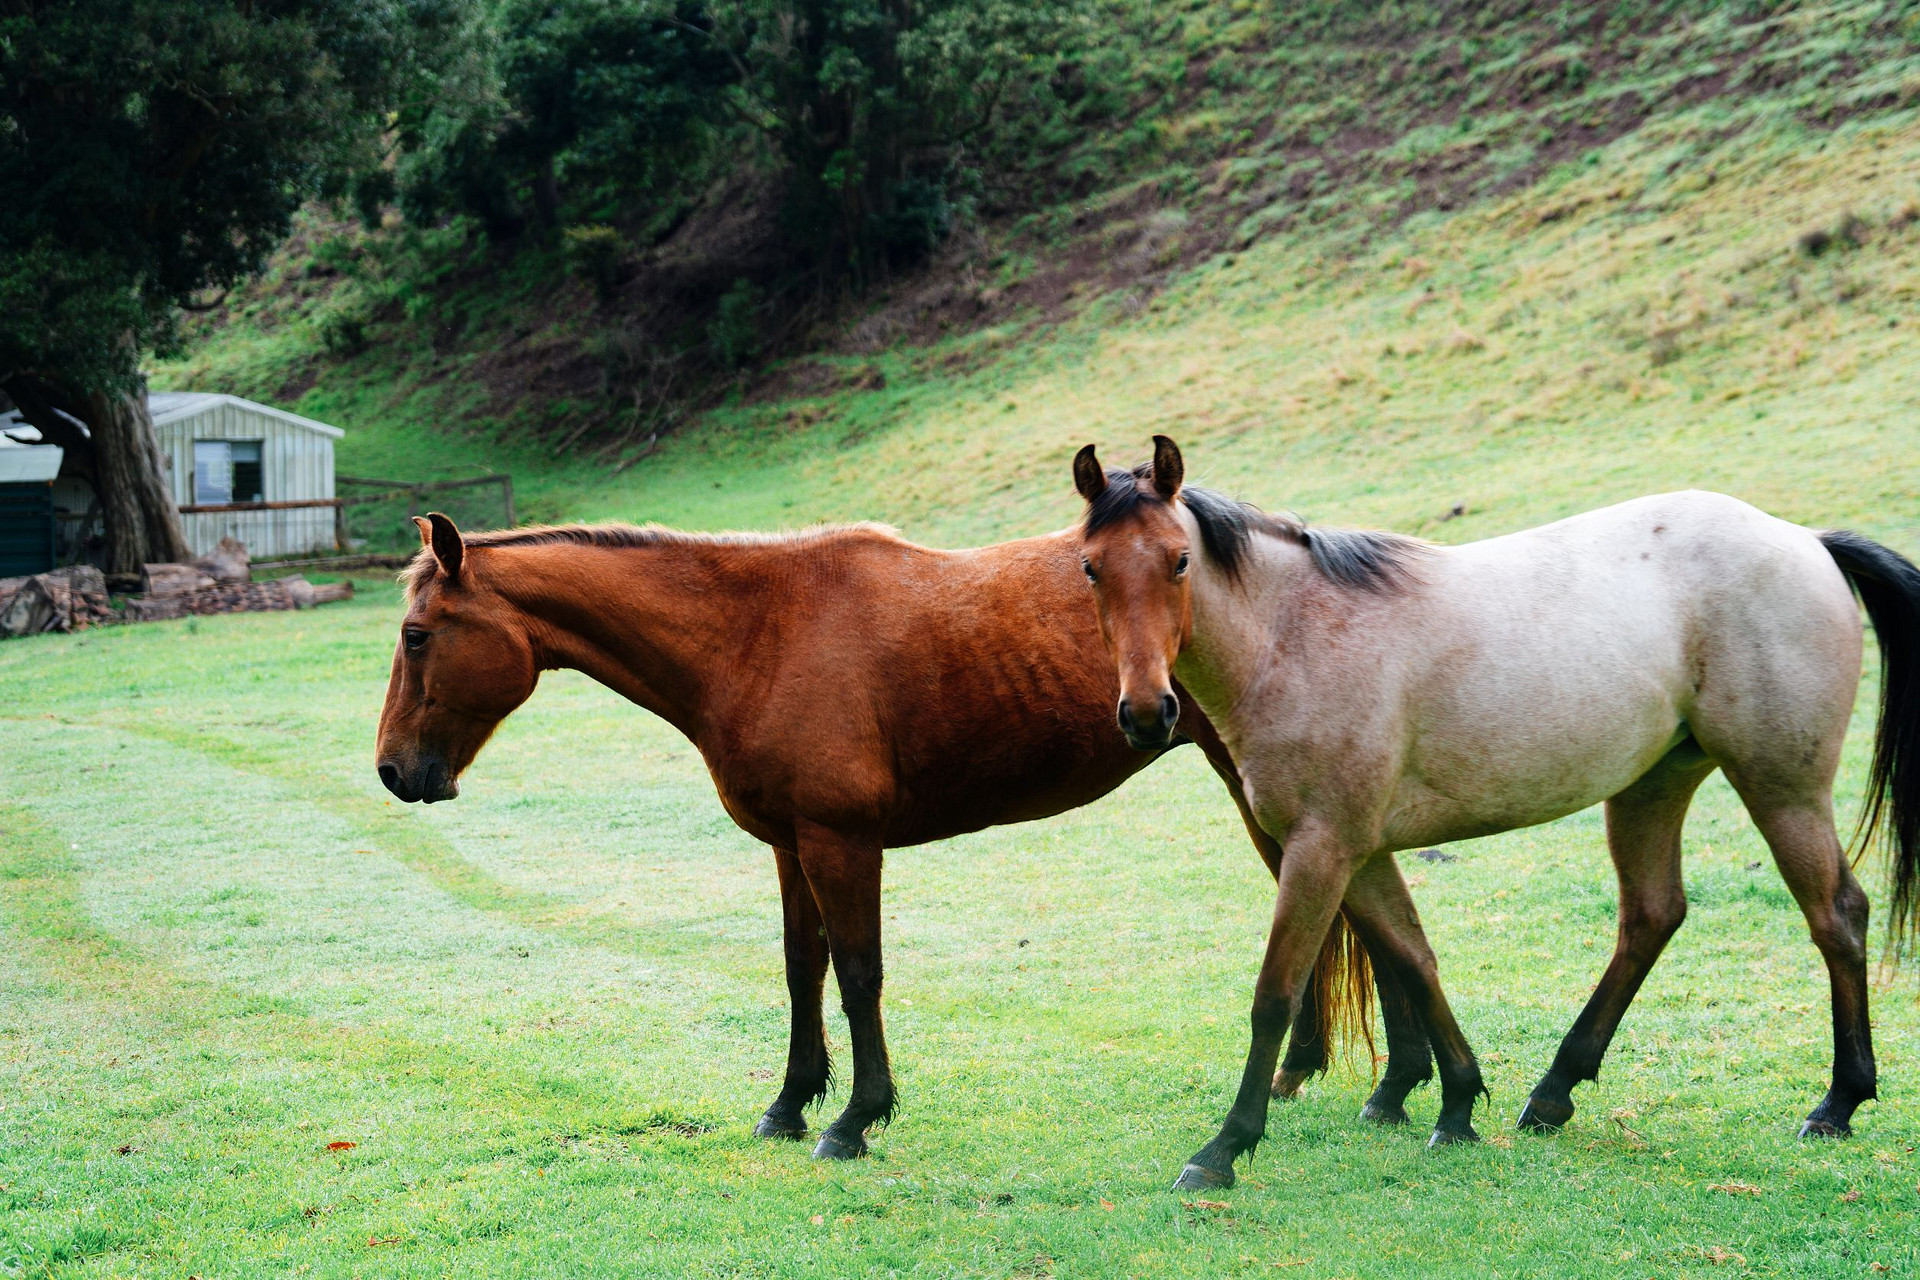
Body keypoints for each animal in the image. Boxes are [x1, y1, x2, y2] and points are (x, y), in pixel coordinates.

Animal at [373, 512, 1444, 1164]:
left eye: (419, 636)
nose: (392, 771)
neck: (757, 632)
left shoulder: (842, 843)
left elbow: (857, 973)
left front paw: (855, 1116)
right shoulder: (789, 845)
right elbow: (802, 971)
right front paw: (791, 1101)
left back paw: (1397, 1086)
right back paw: (1378, 1082)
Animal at [1072, 436, 1919, 1191]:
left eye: (1179, 561)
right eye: (1090, 568)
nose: (1145, 713)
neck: (1297, 634)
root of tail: (1805, 540)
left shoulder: (1321, 849)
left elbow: (1274, 996)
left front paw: (1225, 1148)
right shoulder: (1359, 851)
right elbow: (1415, 959)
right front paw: (1456, 1103)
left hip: (1781, 788)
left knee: (1836, 914)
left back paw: (1838, 1102)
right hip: (1652, 785)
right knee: (1652, 916)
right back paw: (1552, 1094)